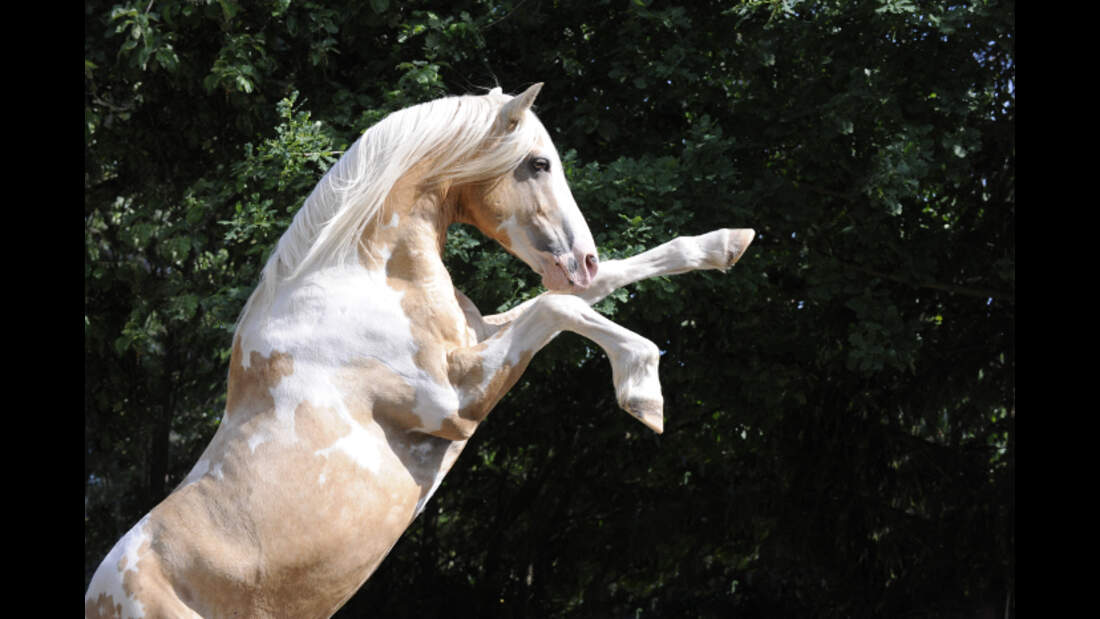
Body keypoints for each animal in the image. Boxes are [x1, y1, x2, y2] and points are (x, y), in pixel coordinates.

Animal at [85, 83, 755, 618]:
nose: (581, 259)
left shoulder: (479, 342)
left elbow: (590, 291)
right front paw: (644, 393)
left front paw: (725, 242)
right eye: (538, 163)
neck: (359, 277)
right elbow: (560, 308)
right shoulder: (455, 401)